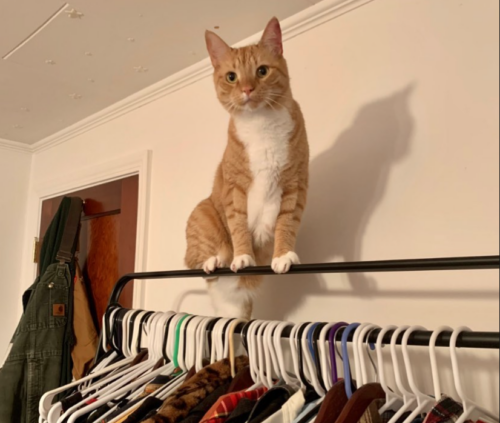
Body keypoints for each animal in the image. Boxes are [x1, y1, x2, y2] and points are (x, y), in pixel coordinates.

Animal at [185, 18, 308, 320]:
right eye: (231, 77)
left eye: (262, 71)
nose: (247, 90)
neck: (261, 124)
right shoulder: (235, 189)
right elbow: (239, 224)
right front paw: (243, 256)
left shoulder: (295, 185)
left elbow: (287, 223)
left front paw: (282, 255)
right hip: (203, 212)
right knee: (194, 261)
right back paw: (215, 259)